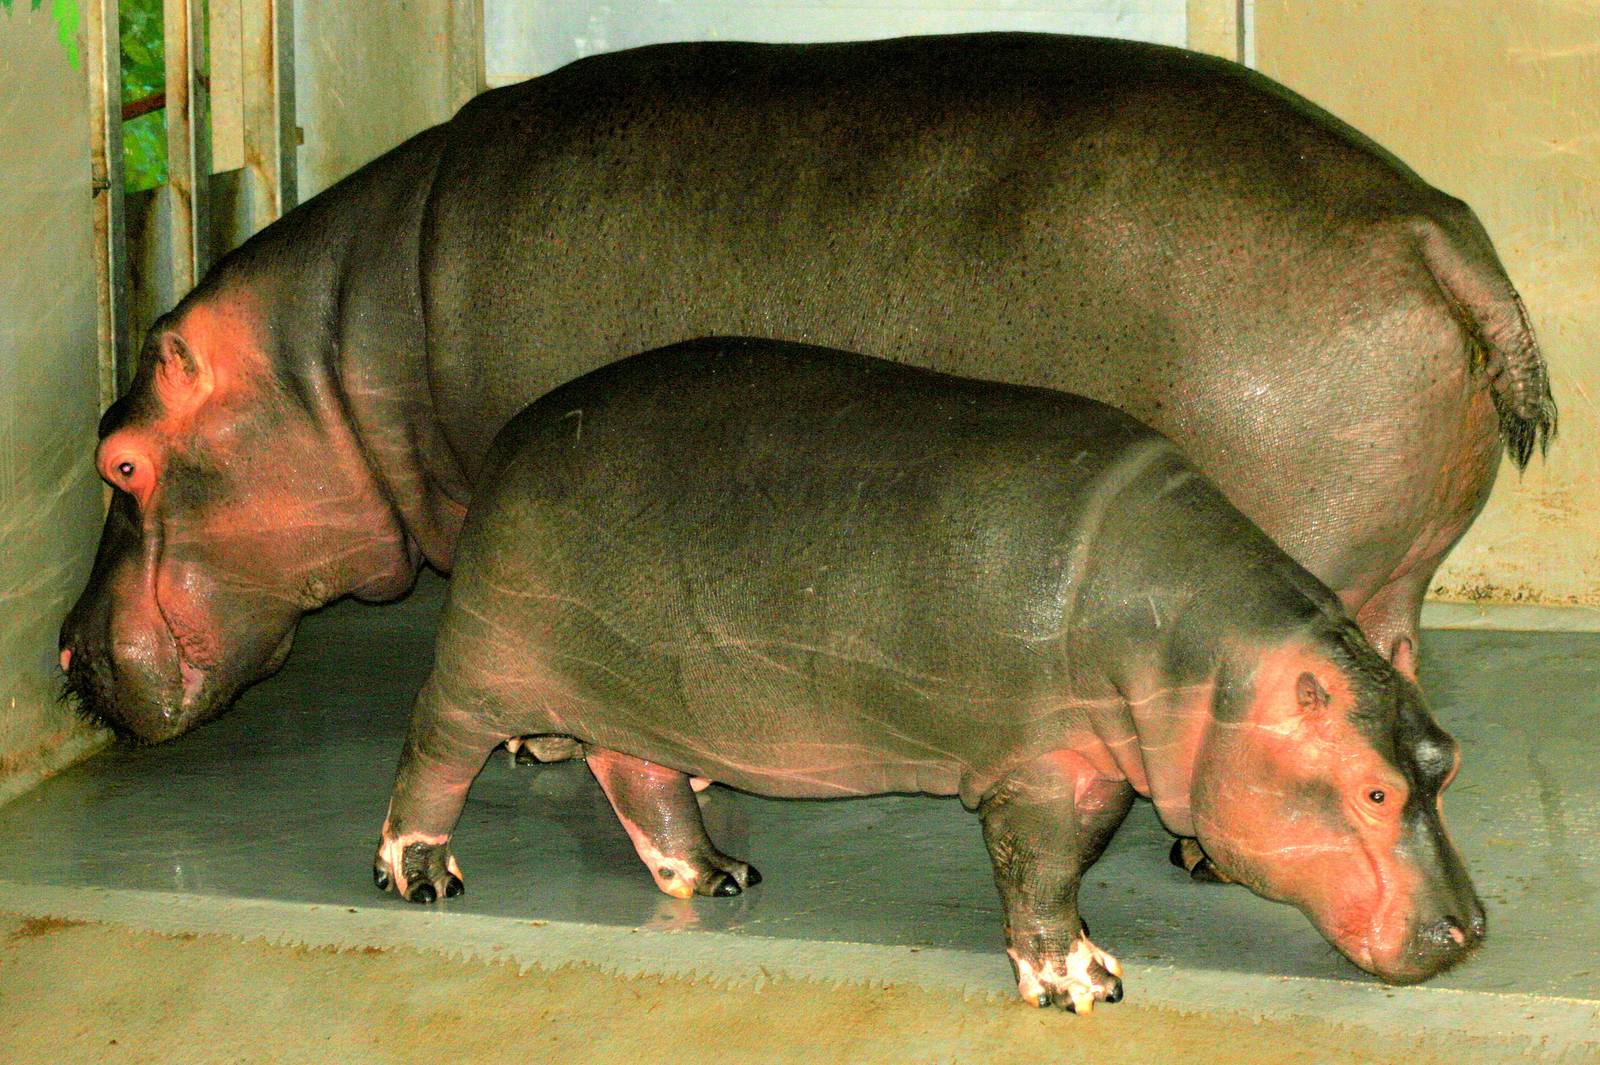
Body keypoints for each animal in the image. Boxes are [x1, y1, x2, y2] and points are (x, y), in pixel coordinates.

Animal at [62, 33, 1551, 754]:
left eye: (119, 459)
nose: (65, 655)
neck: (336, 353)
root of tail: (1433, 227)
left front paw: (547, 749)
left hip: (1302, 544)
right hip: (1390, 565)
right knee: (1400, 661)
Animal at [371, 338, 1484, 1010]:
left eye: (1446, 759)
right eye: (1372, 790)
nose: (1470, 931)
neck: (1208, 660)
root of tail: (515, 434)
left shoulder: (1096, 764)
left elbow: (1069, 861)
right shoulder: (1036, 769)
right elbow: (1039, 869)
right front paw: (1083, 982)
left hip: (642, 695)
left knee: (635, 775)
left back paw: (718, 875)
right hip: (484, 669)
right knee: (430, 753)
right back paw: (421, 877)